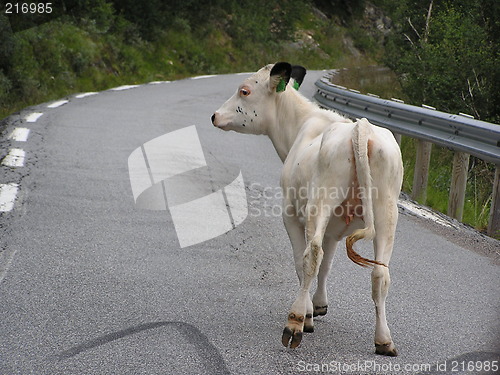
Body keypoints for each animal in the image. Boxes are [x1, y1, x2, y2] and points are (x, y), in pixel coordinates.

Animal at [211, 61, 402, 356]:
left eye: (244, 91)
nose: (215, 116)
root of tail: (361, 128)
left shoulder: (290, 214)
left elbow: (302, 262)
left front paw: (310, 314)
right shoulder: (335, 229)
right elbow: (327, 265)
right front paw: (320, 304)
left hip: (319, 203)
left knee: (311, 255)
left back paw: (295, 324)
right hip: (386, 210)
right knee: (380, 273)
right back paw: (384, 340)